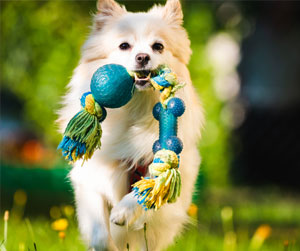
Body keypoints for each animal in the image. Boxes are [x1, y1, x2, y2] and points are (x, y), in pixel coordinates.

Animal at [57, 0, 204, 250]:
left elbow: (153, 184)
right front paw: (107, 241)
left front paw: (123, 212)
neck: (135, 108)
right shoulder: (92, 178)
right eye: (124, 45)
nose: (143, 57)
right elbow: (99, 232)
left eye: (158, 46)